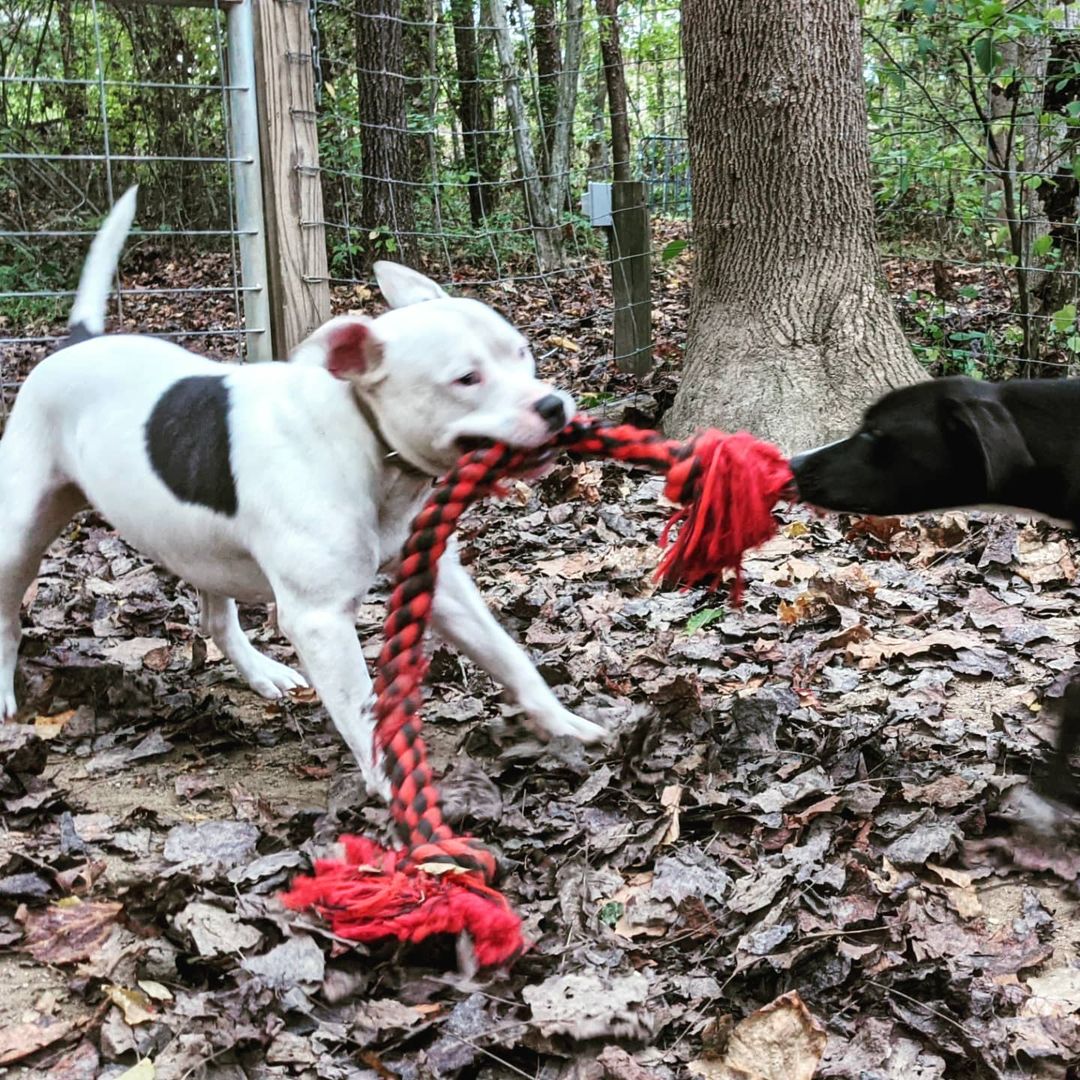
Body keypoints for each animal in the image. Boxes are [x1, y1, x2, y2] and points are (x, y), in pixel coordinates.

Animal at [0, 187, 604, 794]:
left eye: (522, 352)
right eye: (466, 379)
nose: (553, 406)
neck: (363, 434)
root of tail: (76, 343)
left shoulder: (437, 579)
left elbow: (508, 655)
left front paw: (563, 723)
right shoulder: (321, 621)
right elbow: (362, 706)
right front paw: (395, 790)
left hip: (200, 544)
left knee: (216, 619)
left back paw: (261, 672)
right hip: (17, 539)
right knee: (7, 618)